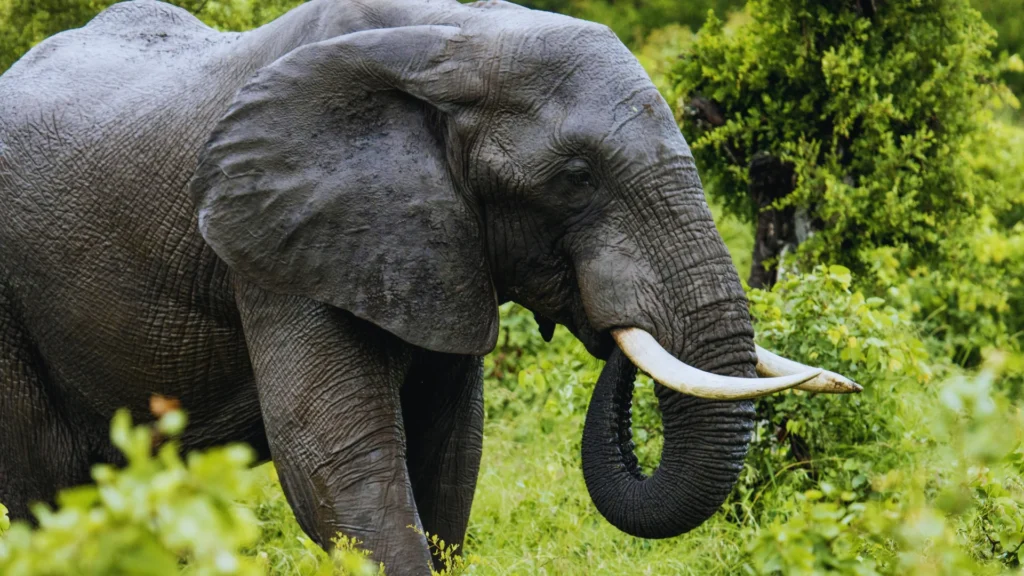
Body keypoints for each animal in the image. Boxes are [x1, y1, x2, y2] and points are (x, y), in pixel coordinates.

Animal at [0, 0, 859, 572]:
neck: (449, 39)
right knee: (41, 484)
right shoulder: (276, 242)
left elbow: (449, 456)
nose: (608, 314)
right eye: (576, 178)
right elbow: (336, 458)